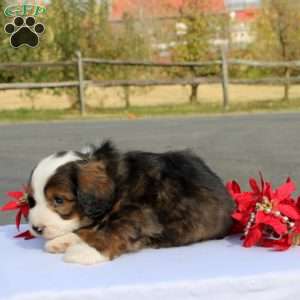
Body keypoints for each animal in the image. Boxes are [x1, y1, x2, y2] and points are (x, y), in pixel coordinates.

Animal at [26, 141, 234, 264]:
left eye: (59, 200)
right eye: (31, 201)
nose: (36, 229)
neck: (116, 182)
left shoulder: (138, 213)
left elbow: (113, 231)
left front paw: (86, 251)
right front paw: (63, 241)